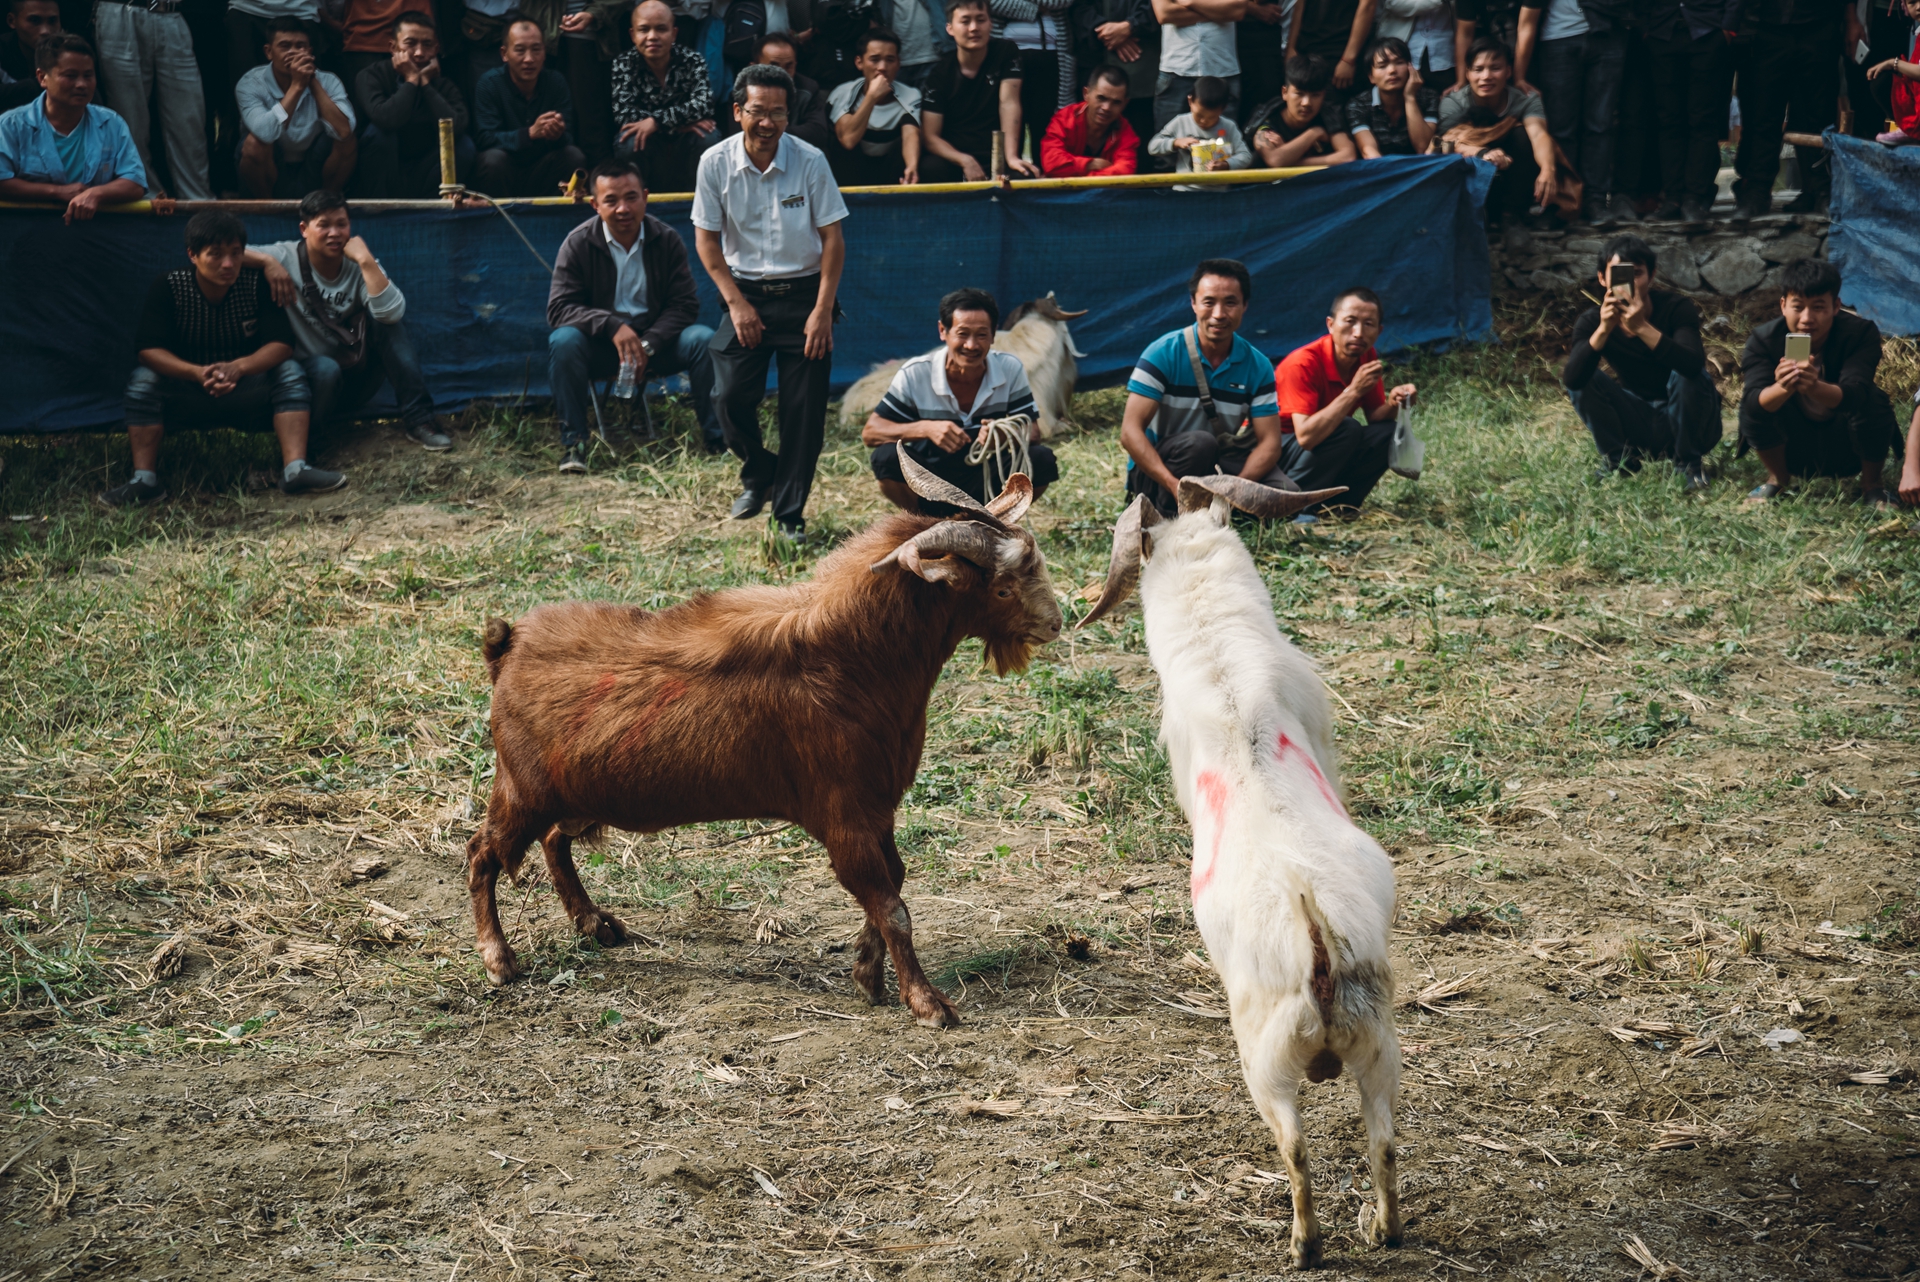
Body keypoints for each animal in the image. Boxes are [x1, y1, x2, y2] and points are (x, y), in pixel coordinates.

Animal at [464, 454, 1067, 1028]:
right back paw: (499, 960)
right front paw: (927, 1003)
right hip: (522, 790)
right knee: (482, 853)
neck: (852, 658)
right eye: (1002, 586)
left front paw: (866, 973)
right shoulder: (843, 814)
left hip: (577, 793)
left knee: (553, 841)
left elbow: (892, 885)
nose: (1056, 623)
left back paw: (594, 924)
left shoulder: (877, 808)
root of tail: (507, 646)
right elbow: (892, 905)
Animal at [1082, 475, 1413, 1266]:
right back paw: (1382, 1230)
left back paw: (1306, 1246)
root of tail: (1317, 949)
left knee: (1296, 1150)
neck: (1219, 652)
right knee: (1383, 1142)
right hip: (1379, 1044)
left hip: (1265, 1061)